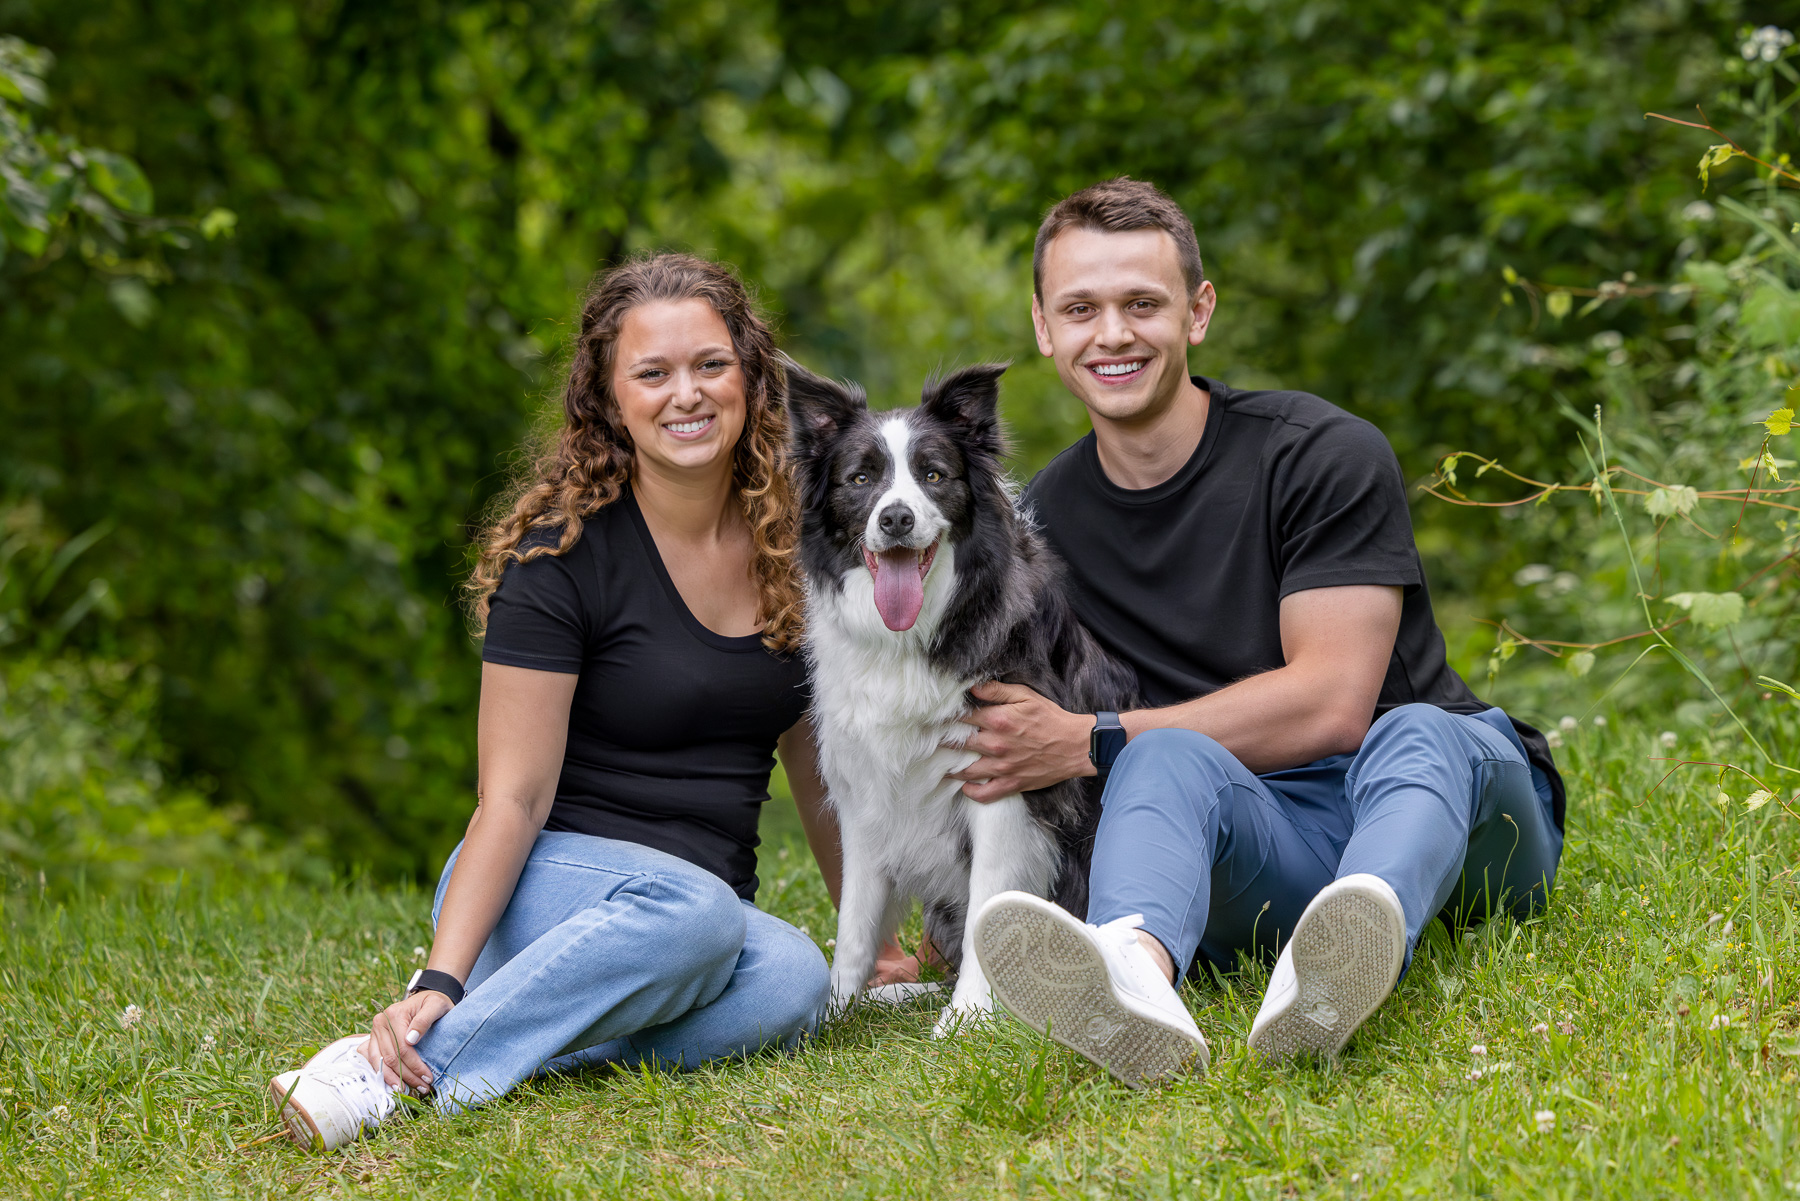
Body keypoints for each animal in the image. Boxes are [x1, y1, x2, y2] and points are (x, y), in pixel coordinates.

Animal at [792, 356, 1137, 1037]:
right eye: (861, 478)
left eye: (933, 475)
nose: (896, 518)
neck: (909, 641)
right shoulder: (866, 798)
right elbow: (855, 923)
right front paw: (831, 1013)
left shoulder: (1003, 787)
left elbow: (987, 908)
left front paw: (969, 1018)